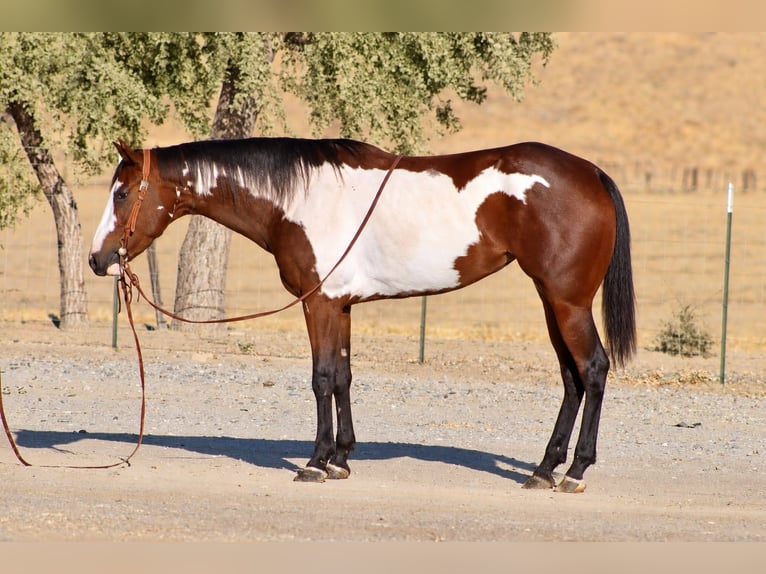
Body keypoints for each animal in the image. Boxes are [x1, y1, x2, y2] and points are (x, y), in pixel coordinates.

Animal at [88, 137, 636, 493]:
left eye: (122, 192)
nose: (97, 259)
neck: (298, 197)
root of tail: (592, 173)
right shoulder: (341, 305)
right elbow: (343, 376)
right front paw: (341, 460)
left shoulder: (318, 303)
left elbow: (321, 378)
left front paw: (314, 462)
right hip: (550, 300)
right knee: (570, 378)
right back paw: (544, 469)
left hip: (566, 302)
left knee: (592, 370)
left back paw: (575, 472)